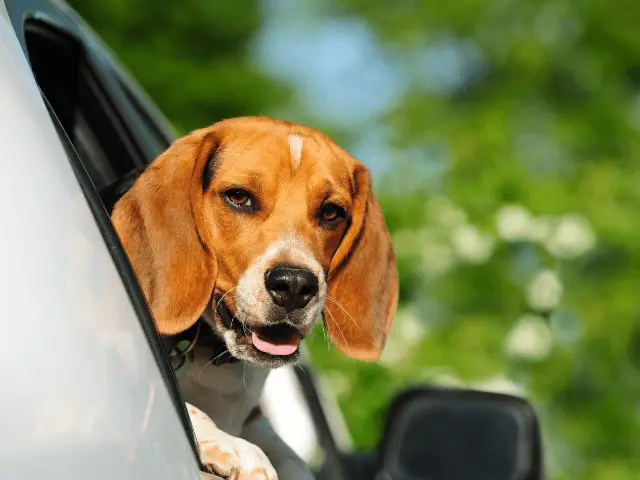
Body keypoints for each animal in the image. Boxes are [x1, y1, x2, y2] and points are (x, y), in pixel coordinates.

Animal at [112, 117, 398, 480]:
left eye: (331, 212)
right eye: (239, 197)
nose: (294, 285)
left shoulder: (254, 418)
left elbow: (291, 458)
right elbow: (186, 408)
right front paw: (234, 446)